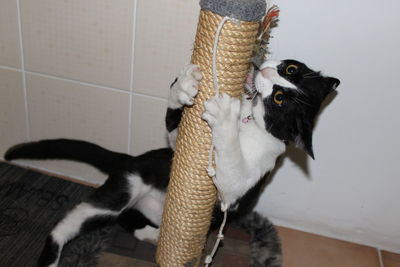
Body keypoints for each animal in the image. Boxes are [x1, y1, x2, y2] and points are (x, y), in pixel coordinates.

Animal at [4, 59, 340, 266]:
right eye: (291, 68)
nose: (268, 71)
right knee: (103, 216)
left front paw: (223, 115)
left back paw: (151, 236)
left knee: (86, 222)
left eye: (280, 98)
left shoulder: (238, 190)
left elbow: (230, 164)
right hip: (129, 184)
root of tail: (131, 160)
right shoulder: (180, 147)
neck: (250, 120)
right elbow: (177, 126)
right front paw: (184, 86)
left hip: (124, 193)